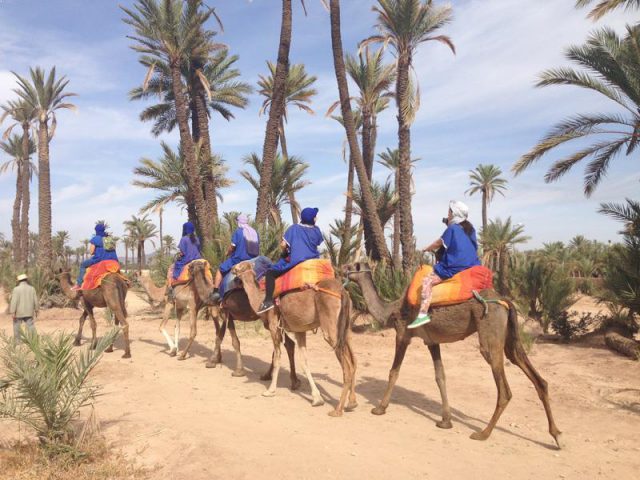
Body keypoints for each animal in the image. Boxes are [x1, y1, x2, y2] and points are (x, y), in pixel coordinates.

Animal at [189, 258, 302, 390]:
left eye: (191, 265)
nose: (188, 268)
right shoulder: (228, 316)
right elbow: (223, 338)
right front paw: (216, 361)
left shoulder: (226, 314)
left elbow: (228, 340)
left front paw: (230, 368)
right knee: (288, 344)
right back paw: (289, 380)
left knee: (284, 344)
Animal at [232, 260, 358, 414]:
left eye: (241, 265)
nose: (232, 268)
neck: (260, 299)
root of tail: (342, 291)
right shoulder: (299, 330)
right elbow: (304, 362)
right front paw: (316, 398)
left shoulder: (274, 326)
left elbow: (277, 358)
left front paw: (270, 390)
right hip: (345, 328)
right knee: (353, 361)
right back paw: (352, 403)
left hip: (331, 326)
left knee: (347, 366)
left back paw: (337, 410)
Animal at [344, 262, 560, 446]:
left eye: (351, 267)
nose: (340, 268)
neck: (391, 310)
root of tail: (504, 301)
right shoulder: (432, 341)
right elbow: (440, 376)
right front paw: (445, 421)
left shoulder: (403, 334)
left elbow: (393, 372)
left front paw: (379, 408)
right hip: (509, 336)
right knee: (532, 373)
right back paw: (556, 435)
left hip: (489, 329)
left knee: (504, 388)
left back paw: (483, 433)